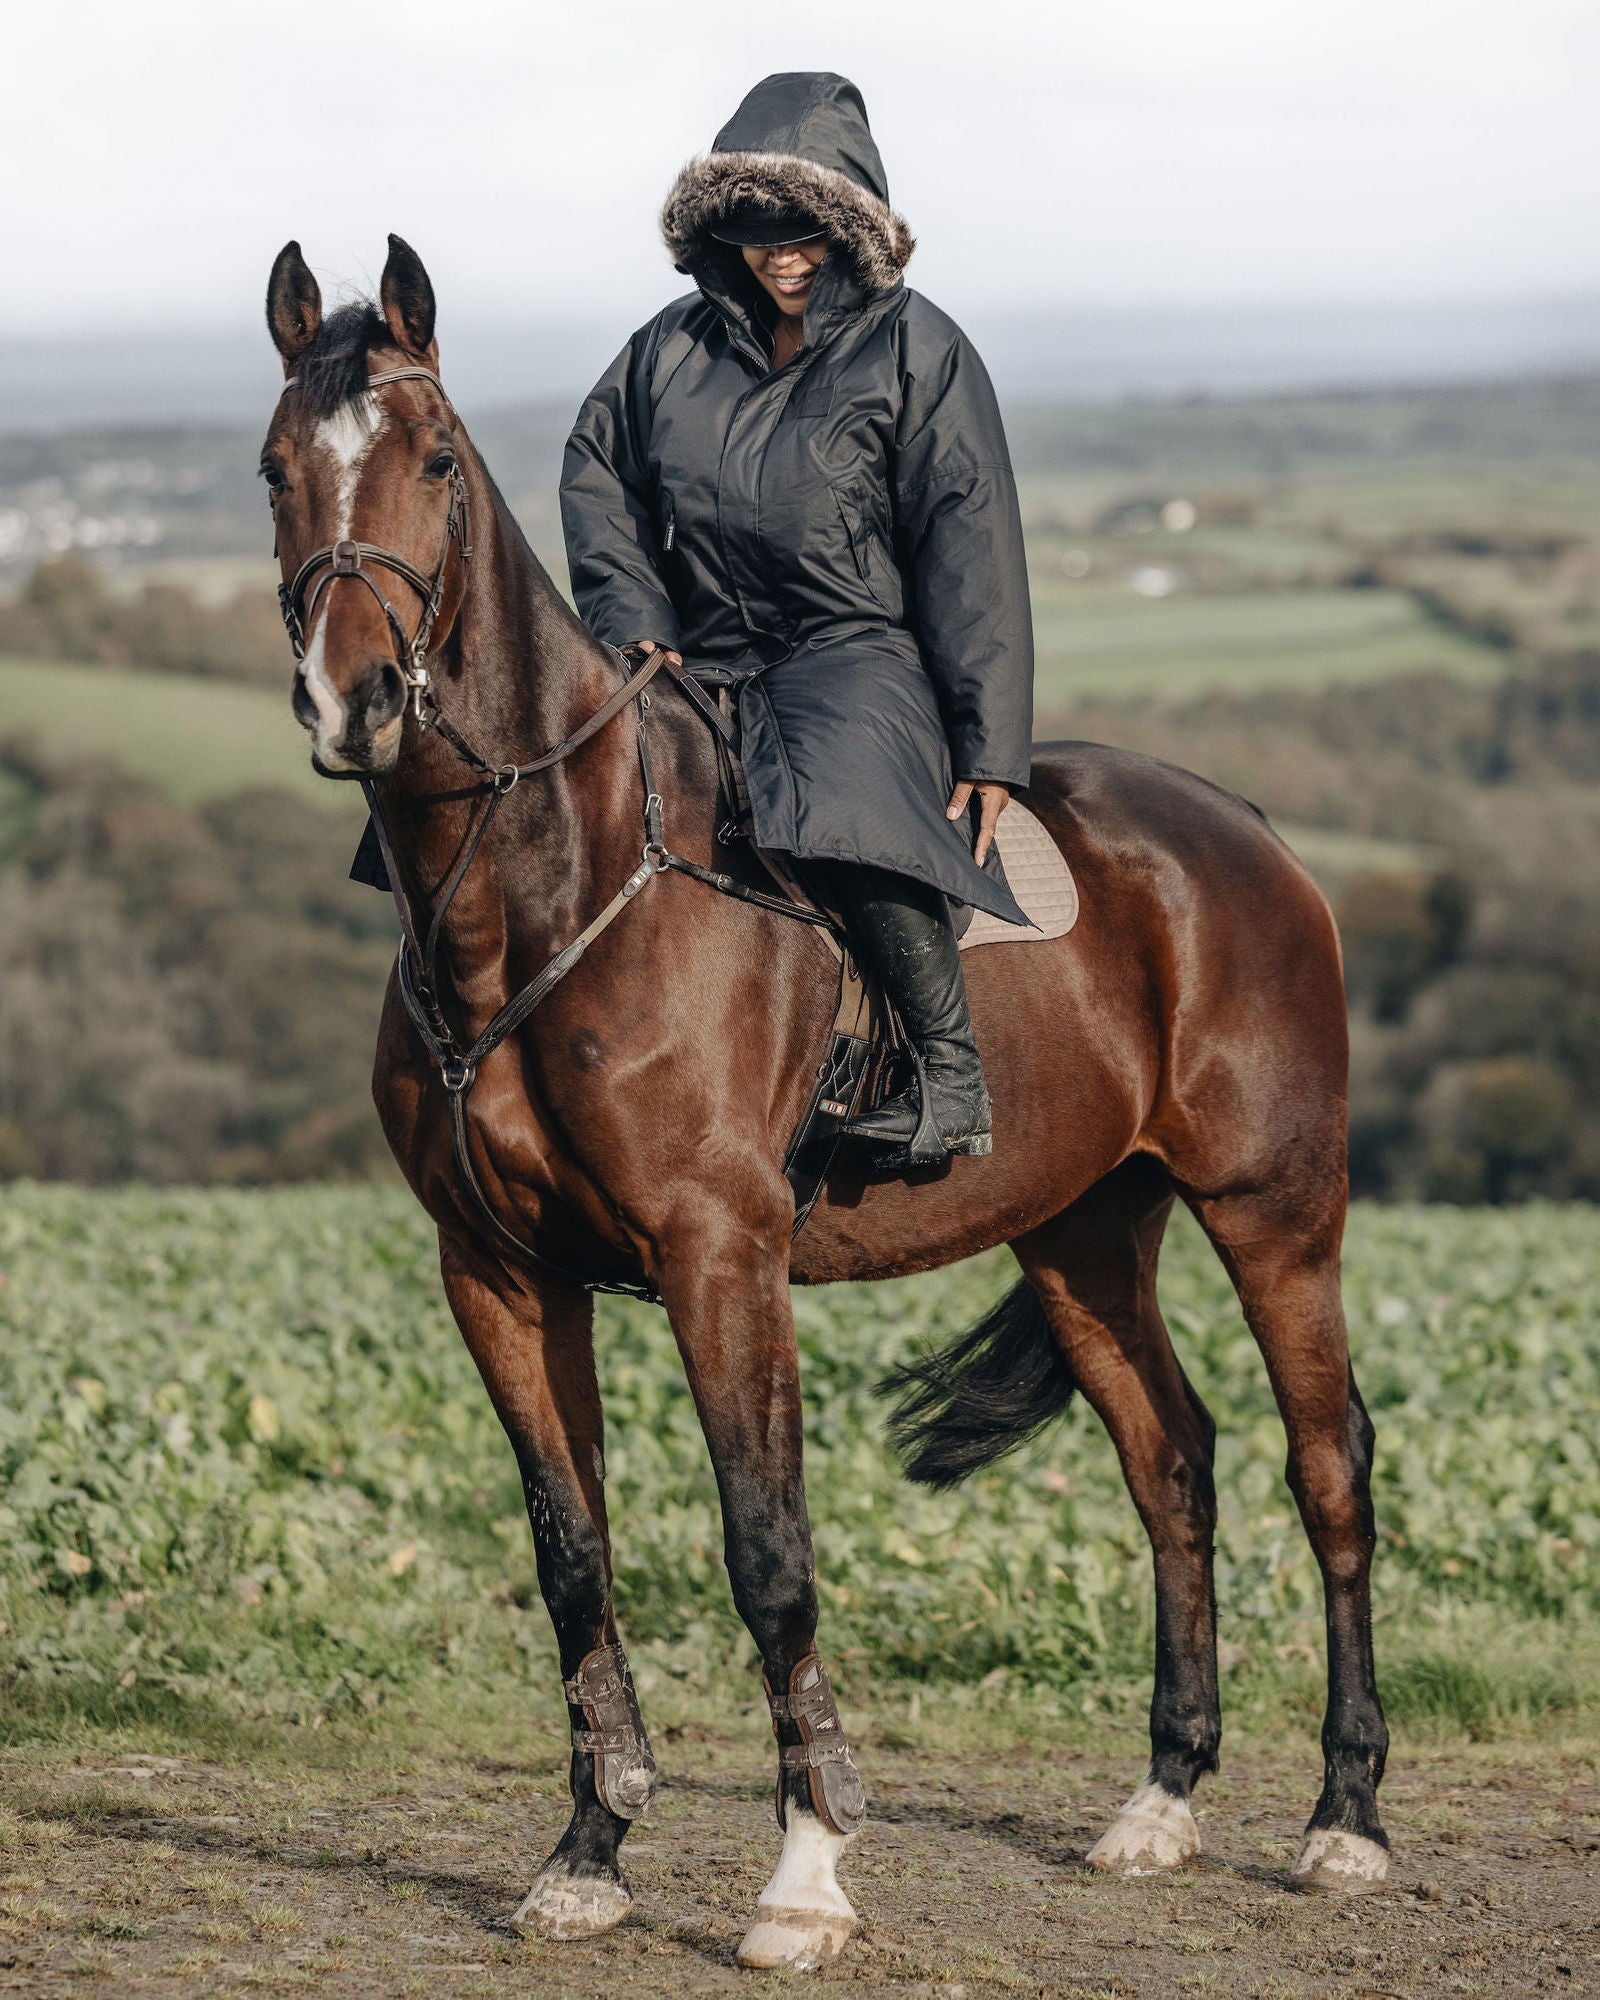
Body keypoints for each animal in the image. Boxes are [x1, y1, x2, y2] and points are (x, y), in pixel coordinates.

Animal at [260, 234, 1384, 1968]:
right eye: (272, 470)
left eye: (436, 459)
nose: (358, 699)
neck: (552, 884)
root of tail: (1246, 832)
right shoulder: (498, 1277)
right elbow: (572, 1558)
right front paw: (589, 1849)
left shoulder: (722, 1258)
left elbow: (767, 1552)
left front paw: (806, 1872)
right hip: (1080, 1234)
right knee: (1172, 1462)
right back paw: (1162, 1800)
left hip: (1275, 1212)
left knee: (1327, 1464)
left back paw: (1342, 1820)